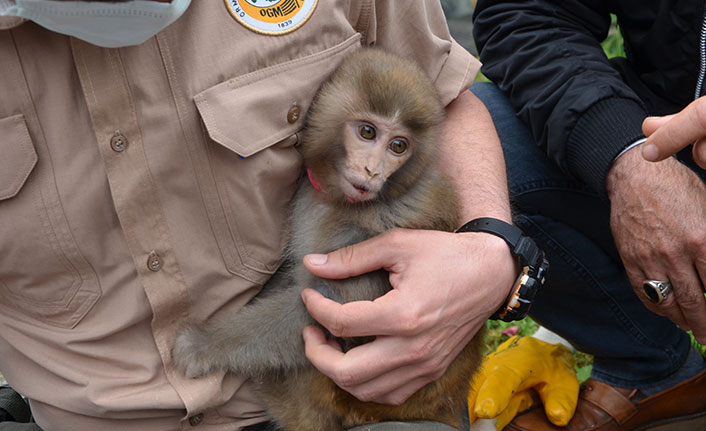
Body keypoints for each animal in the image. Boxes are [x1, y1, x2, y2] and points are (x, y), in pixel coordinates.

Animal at [173, 49, 486, 430]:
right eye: (367, 132)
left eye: (398, 146)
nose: (372, 171)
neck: (343, 201)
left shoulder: (373, 227)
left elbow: (329, 305)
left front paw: (201, 345)